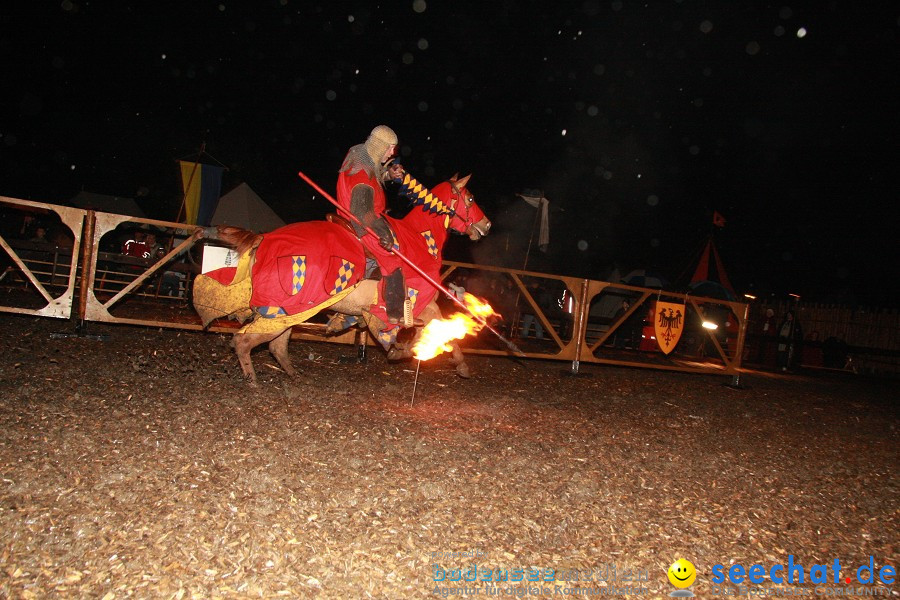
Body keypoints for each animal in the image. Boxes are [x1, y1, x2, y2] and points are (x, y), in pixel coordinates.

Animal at [192, 172, 492, 390]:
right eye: (470, 198)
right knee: (244, 342)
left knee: (276, 345)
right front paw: (456, 364)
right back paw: (252, 379)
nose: (486, 225)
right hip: (282, 309)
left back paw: (294, 375)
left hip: (291, 312)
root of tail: (263, 238)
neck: (420, 239)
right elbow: (435, 332)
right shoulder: (422, 303)